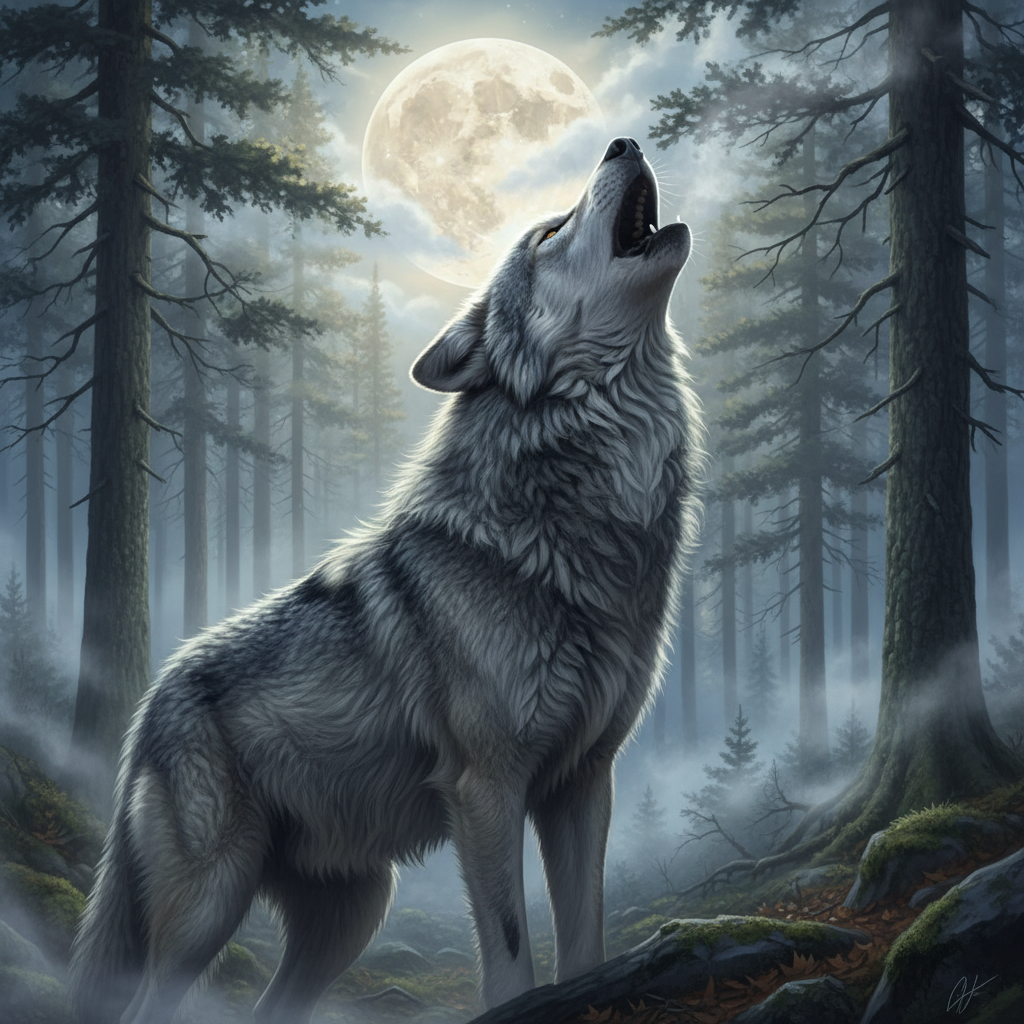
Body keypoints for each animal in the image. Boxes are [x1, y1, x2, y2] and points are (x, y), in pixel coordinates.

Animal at [70, 136, 701, 1024]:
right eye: (549, 232)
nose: (623, 142)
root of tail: (148, 707)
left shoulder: (583, 785)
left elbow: (585, 941)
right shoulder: (487, 789)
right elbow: (512, 954)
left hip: (355, 913)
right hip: (208, 907)